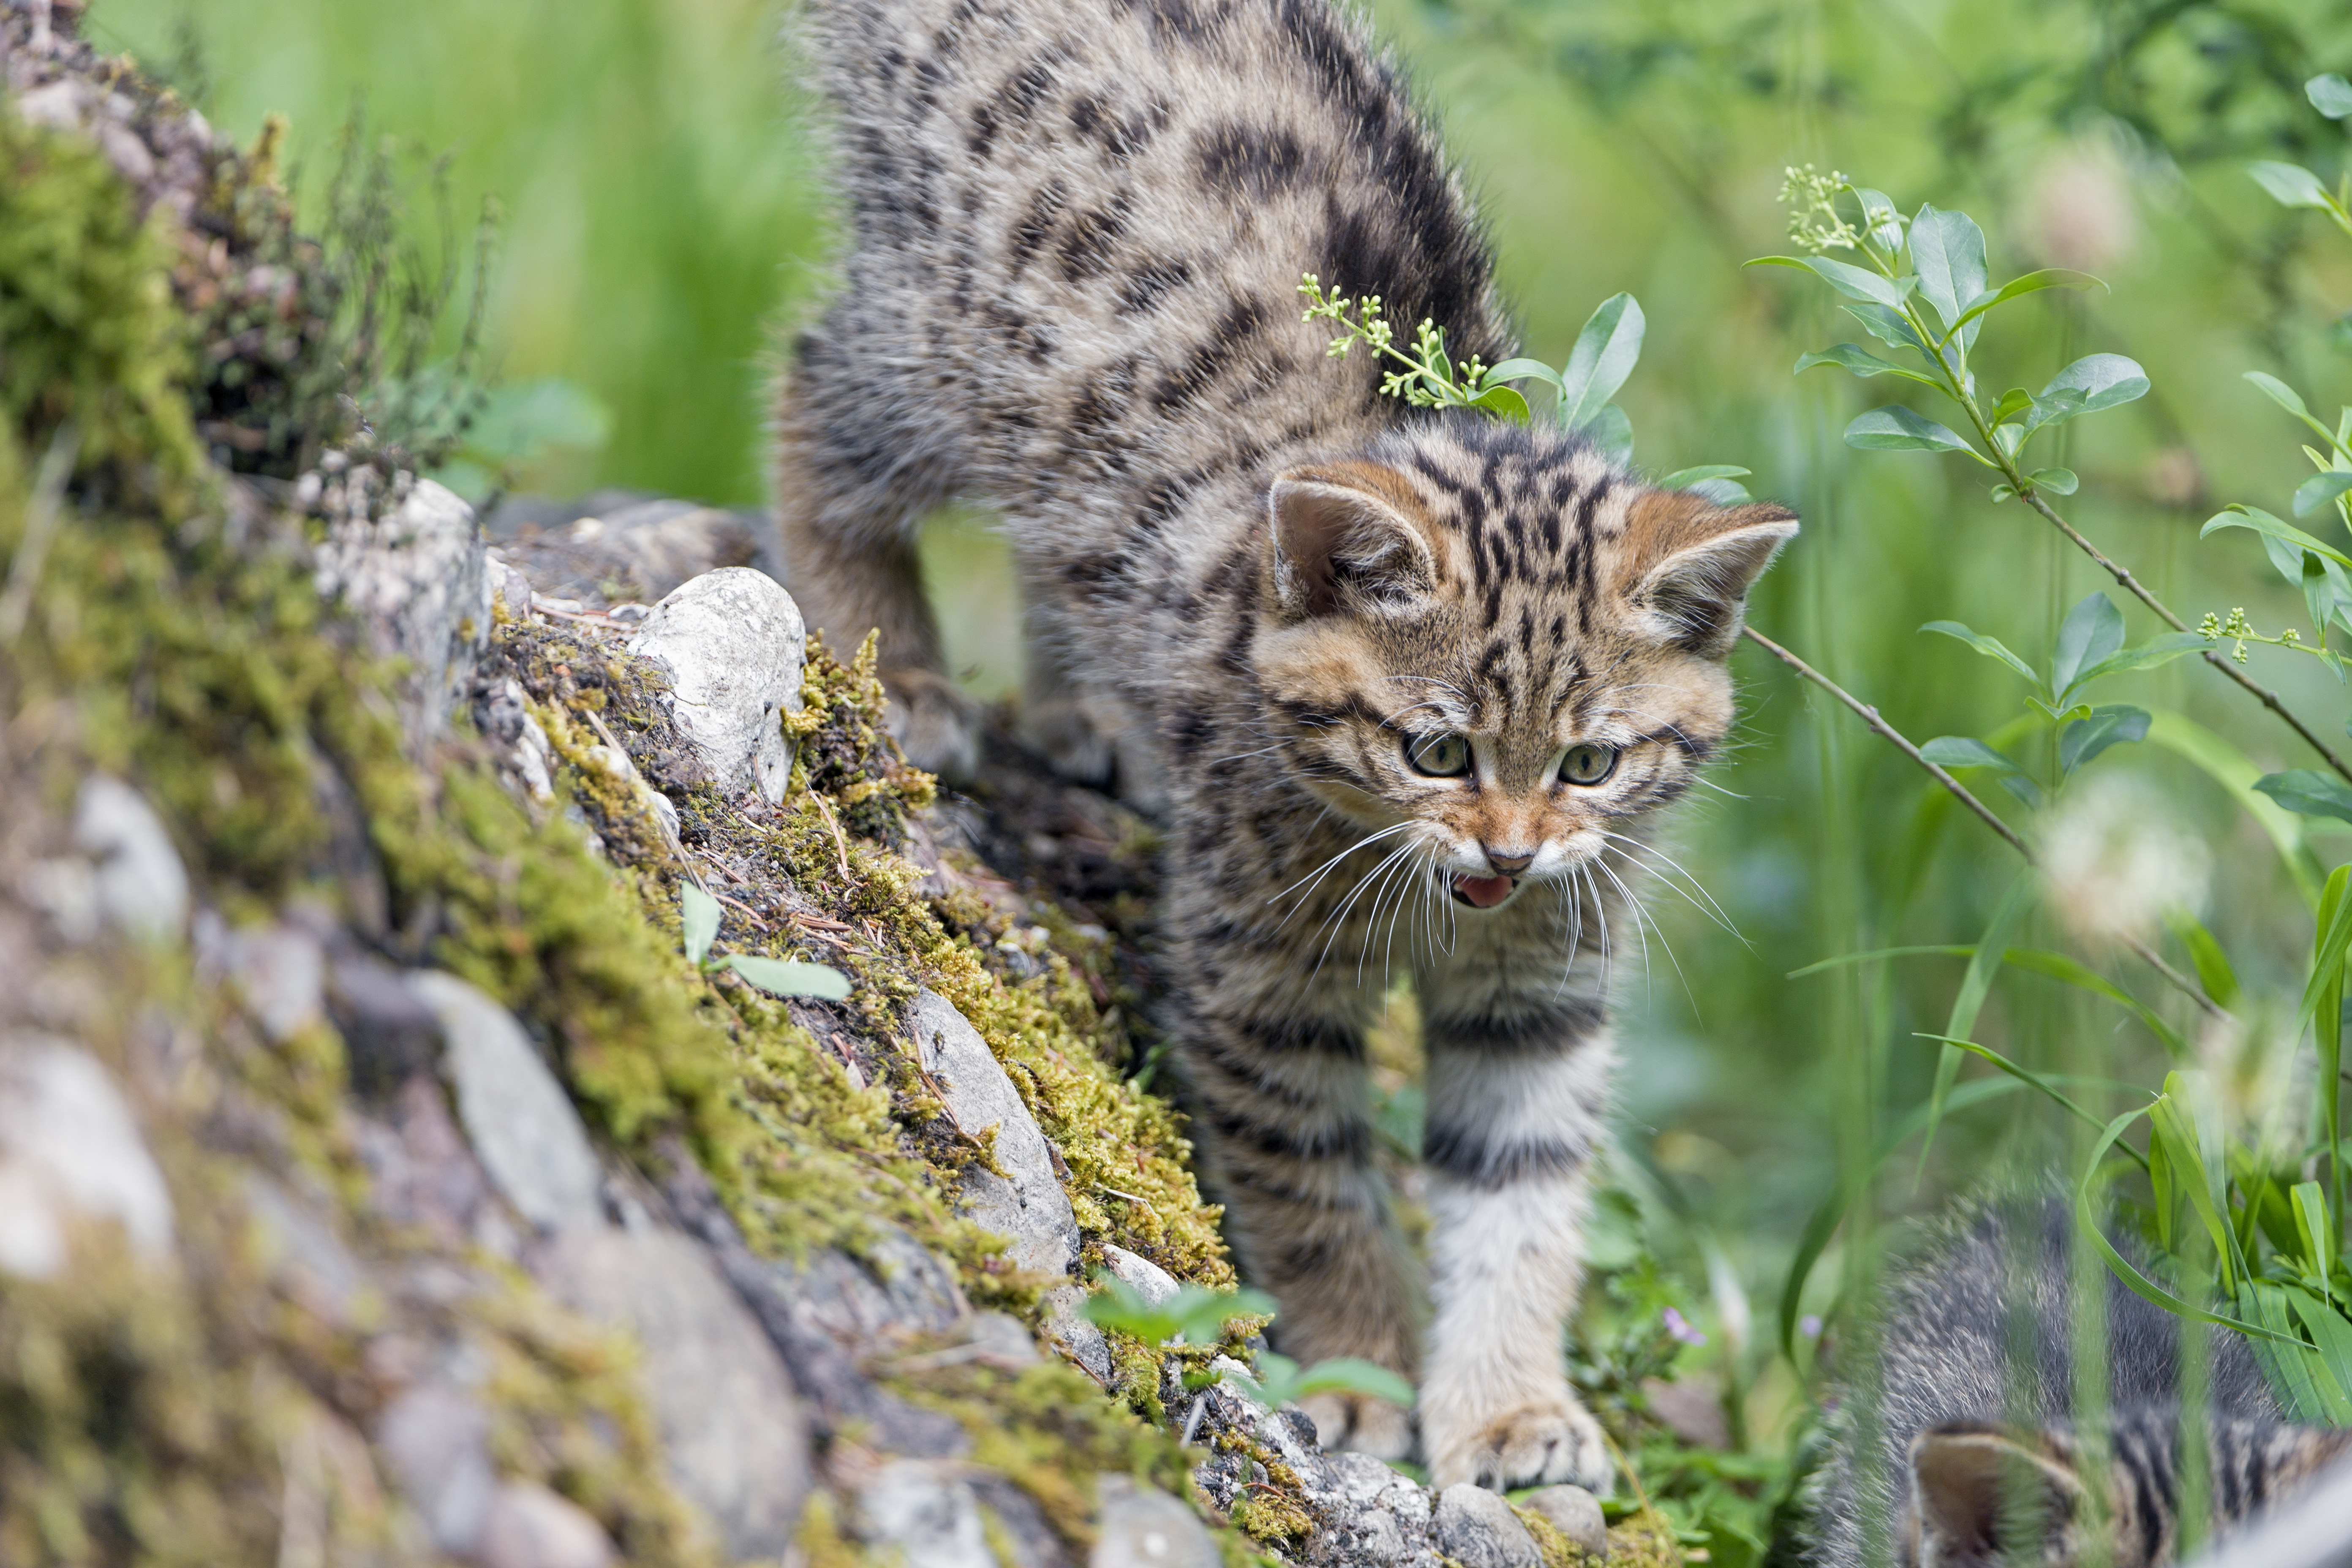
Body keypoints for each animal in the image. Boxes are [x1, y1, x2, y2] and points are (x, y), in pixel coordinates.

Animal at [781, 0, 1787, 1495]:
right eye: (1436, 753)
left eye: (1590, 767)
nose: (1508, 853)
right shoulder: (1253, 973)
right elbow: (1308, 1175)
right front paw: (1360, 1370)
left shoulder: (1544, 979)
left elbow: (1522, 1184)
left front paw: (1507, 1405)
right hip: (964, 340)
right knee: (817, 377)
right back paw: (888, 656)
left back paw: (1085, 710)